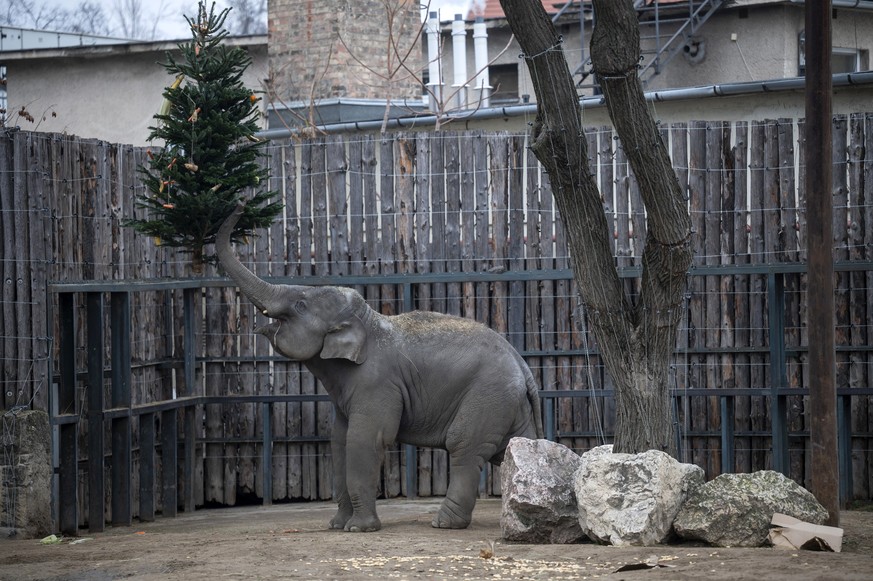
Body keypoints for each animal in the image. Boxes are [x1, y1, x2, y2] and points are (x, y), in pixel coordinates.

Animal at [216, 205, 543, 532]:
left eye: (299, 305)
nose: (241, 207)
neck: (369, 319)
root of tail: (522, 364)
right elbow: (339, 441)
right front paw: (337, 526)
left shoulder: (377, 384)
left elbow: (366, 439)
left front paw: (358, 529)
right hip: (508, 404)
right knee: (513, 449)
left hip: (487, 397)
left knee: (464, 447)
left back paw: (444, 524)